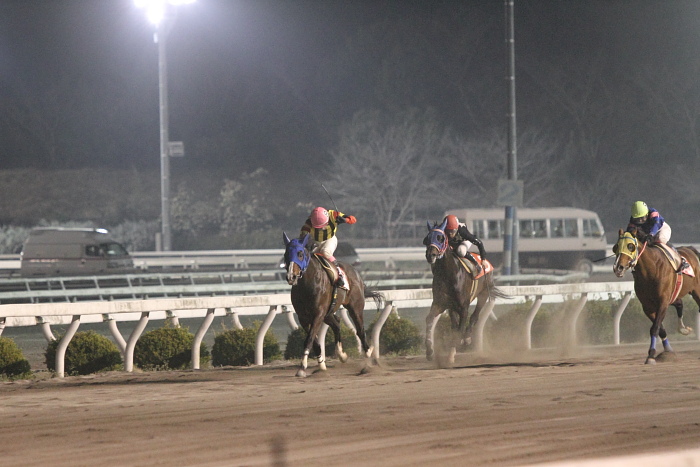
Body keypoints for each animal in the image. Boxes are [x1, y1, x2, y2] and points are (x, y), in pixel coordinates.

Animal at [284, 232, 382, 378]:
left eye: (300, 254)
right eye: (286, 254)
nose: (291, 276)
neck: (307, 285)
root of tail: (356, 273)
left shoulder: (318, 314)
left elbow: (309, 339)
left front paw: (302, 368)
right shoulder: (304, 317)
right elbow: (314, 341)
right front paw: (321, 365)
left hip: (355, 307)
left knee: (360, 331)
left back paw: (369, 357)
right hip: (328, 313)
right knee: (337, 323)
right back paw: (342, 355)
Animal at [422, 218, 508, 362]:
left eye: (440, 238)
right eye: (427, 238)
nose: (431, 255)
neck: (449, 275)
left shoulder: (463, 307)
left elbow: (460, 329)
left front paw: (452, 354)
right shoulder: (441, 303)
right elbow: (429, 320)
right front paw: (429, 351)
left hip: (484, 294)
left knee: (474, 316)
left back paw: (467, 338)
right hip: (452, 307)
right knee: (454, 323)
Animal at [608, 229, 700, 364]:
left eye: (630, 246)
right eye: (615, 247)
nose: (618, 268)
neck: (651, 270)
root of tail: (691, 250)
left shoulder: (662, 303)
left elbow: (655, 328)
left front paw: (651, 355)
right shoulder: (648, 306)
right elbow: (660, 329)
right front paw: (667, 351)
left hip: (696, 291)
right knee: (679, 303)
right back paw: (683, 329)